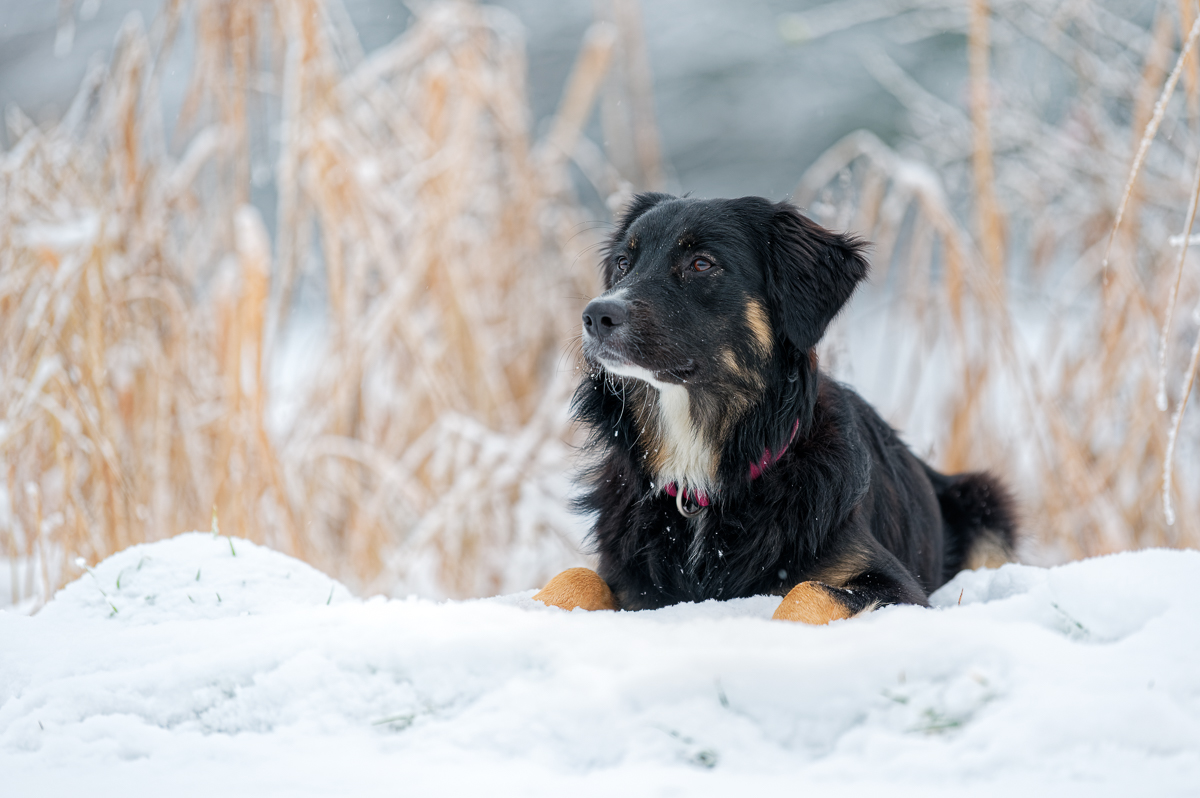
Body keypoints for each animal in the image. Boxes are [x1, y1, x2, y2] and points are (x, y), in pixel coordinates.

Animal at [535, 193, 1012, 624]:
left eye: (701, 264)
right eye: (623, 263)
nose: (596, 316)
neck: (700, 486)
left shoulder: (898, 587)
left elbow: (805, 594)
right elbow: (570, 578)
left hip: (987, 501)